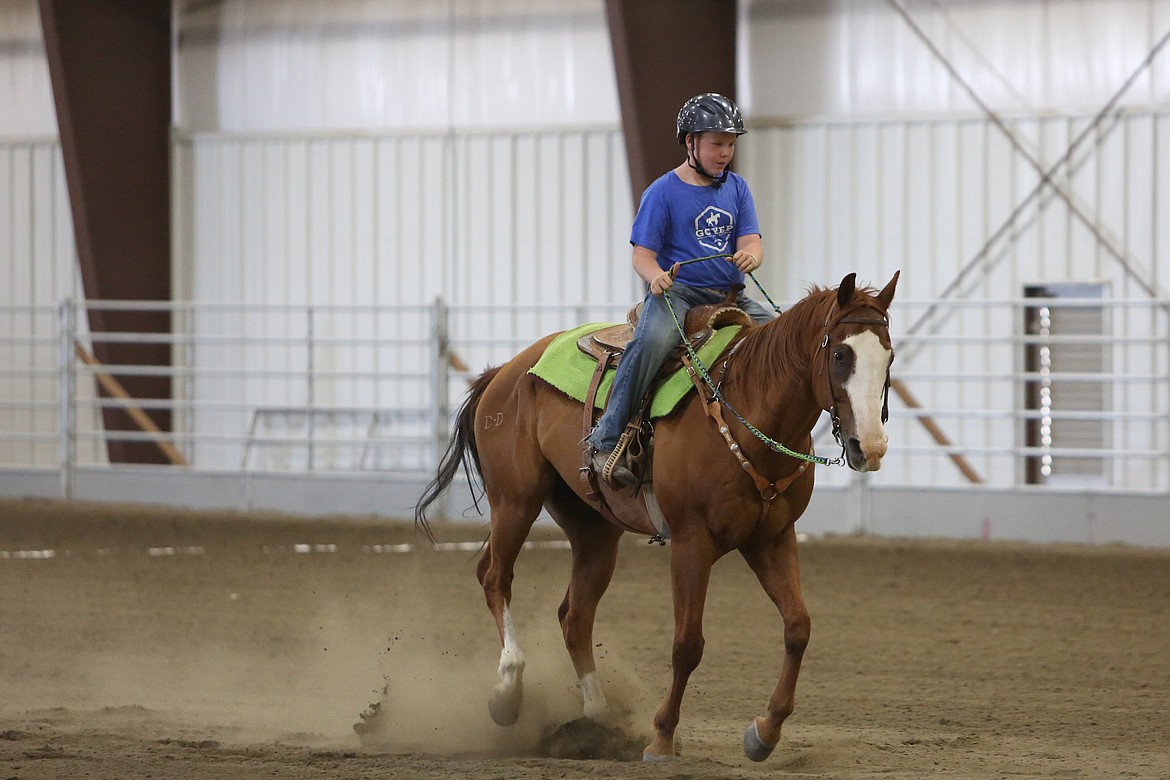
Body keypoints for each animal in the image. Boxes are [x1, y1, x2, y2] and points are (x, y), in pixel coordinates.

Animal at [416, 270, 898, 762]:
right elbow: (687, 644)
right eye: (840, 354)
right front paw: (662, 737)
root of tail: (505, 372)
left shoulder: (772, 537)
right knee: (496, 577)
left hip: (594, 528)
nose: (870, 448)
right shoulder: (691, 540)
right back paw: (508, 693)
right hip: (515, 499)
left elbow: (798, 627)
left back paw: (596, 721)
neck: (745, 407)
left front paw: (764, 732)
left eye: (888, 355)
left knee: (575, 615)